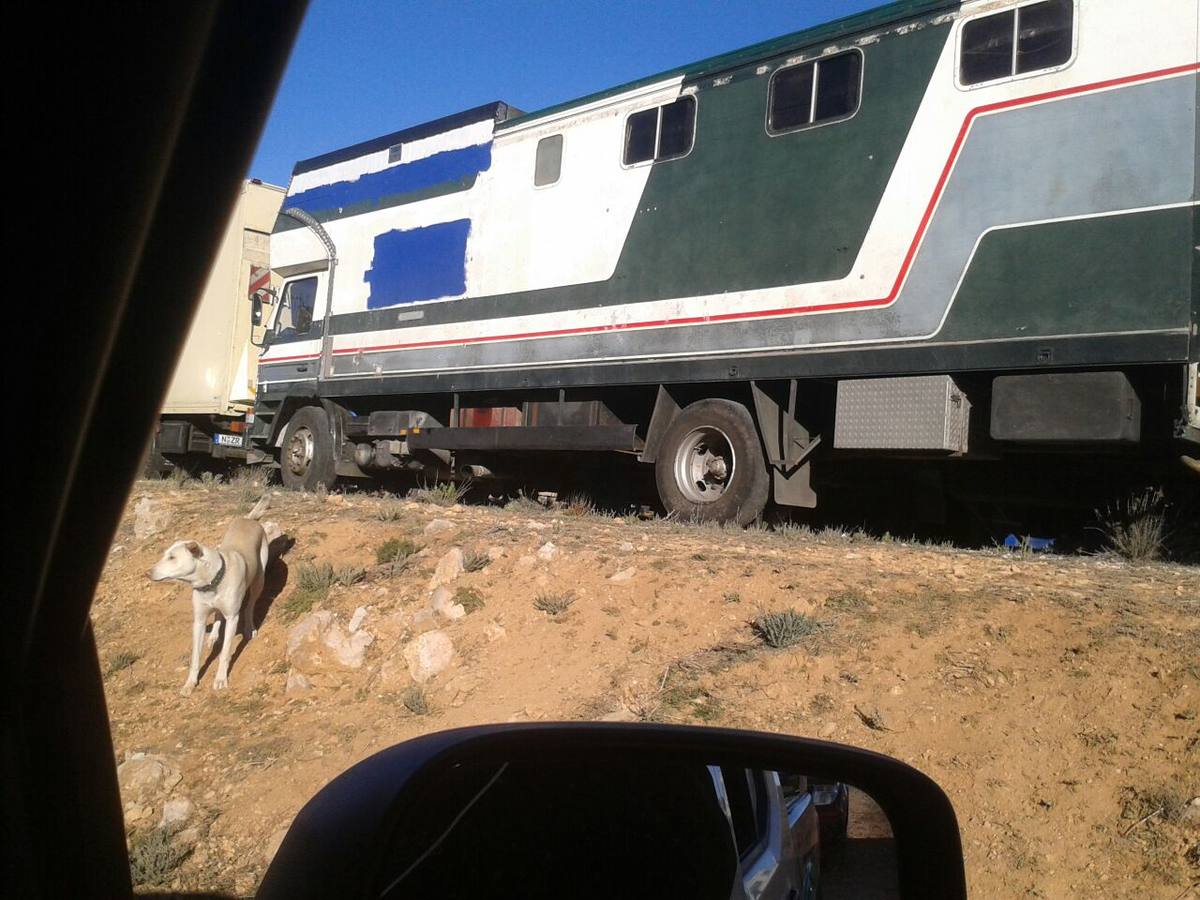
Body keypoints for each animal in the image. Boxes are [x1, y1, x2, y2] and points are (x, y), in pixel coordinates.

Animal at [148, 496, 272, 696]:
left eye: (172, 557)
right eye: (165, 555)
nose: (147, 573)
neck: (212, 582)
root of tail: (249, 519)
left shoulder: (232, 618)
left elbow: (225, 653)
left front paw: (220, 679)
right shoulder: (198, 621)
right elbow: (195, 658)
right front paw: (190, 683)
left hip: (258, 580)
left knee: (250, 605)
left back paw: (250, 627)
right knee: (217, 615)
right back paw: (213, 635)